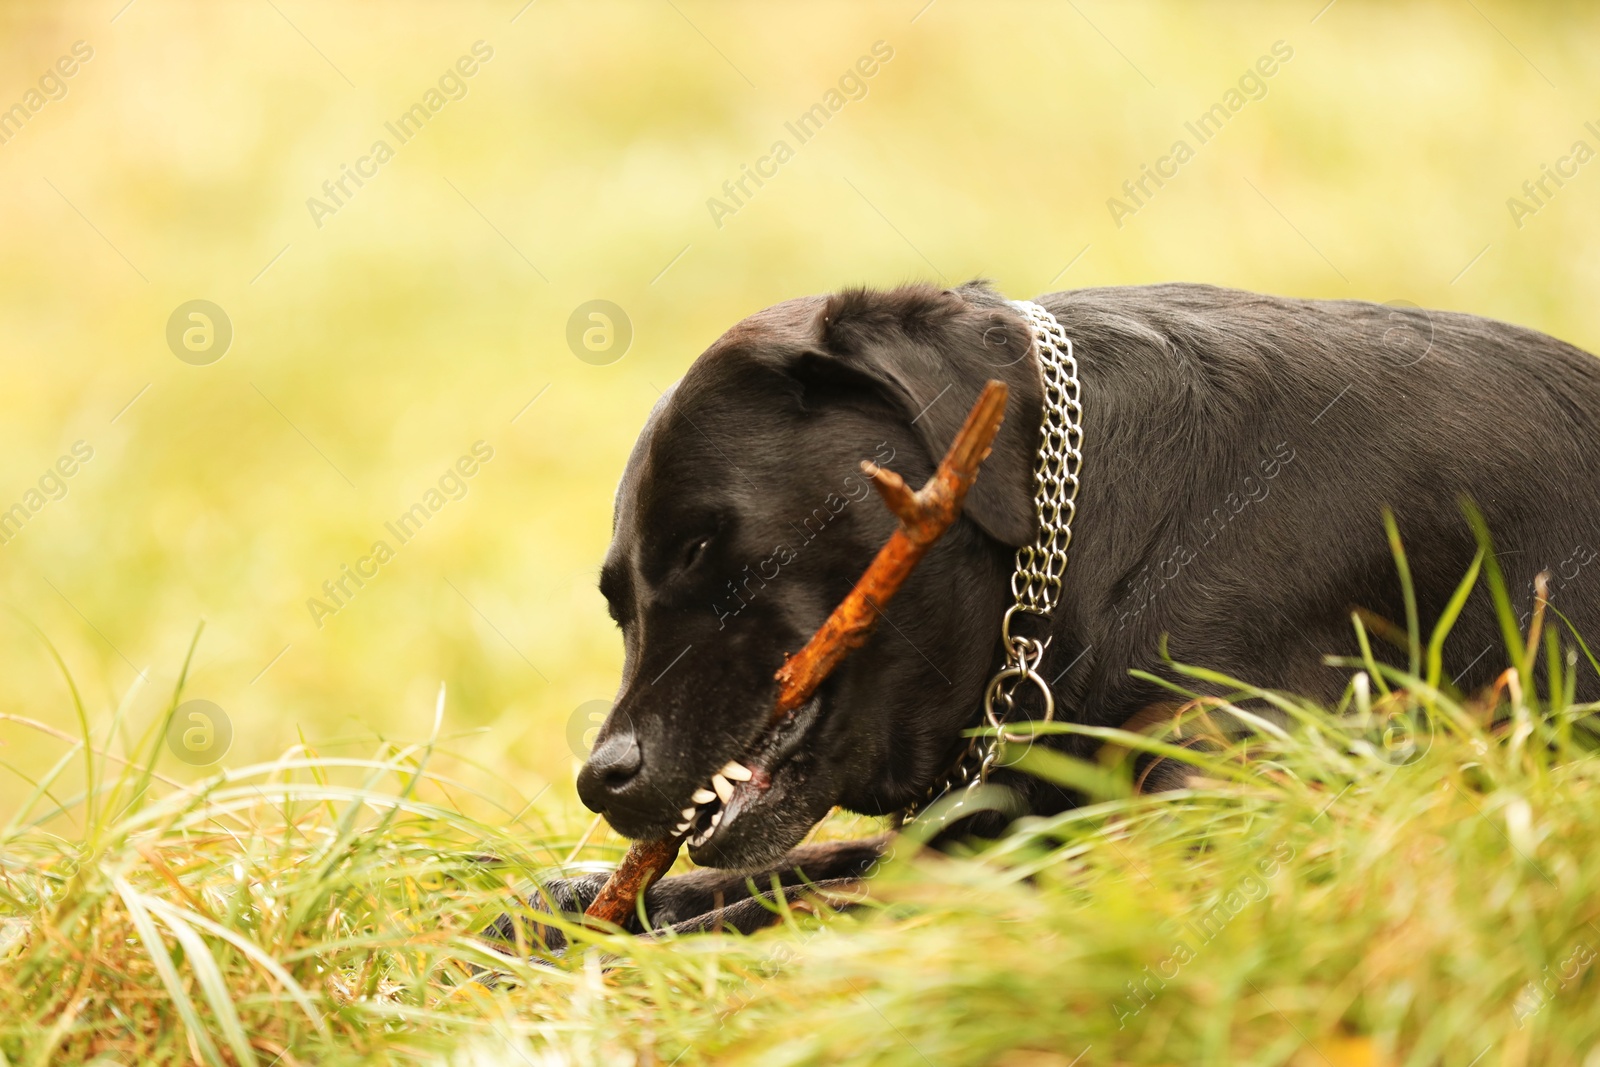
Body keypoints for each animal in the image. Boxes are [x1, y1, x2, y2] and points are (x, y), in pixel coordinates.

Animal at [540, 279, 1600, 940]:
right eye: (617, 601)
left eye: (700, 548)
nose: (601, 779)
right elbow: (799, 863)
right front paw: (561, 906)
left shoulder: (1190, 827)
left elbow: (805, 896)